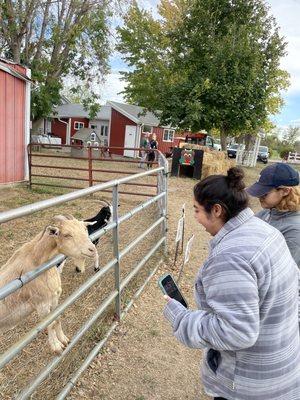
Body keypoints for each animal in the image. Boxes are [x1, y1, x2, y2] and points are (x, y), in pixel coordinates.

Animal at [0, 216, 98, 354]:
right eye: (67, 235)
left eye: (85, 229)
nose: (92, 249)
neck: (37, 260)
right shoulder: (41, 304)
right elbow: (49, 324)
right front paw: (56, 346)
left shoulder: (54, 298)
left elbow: (57, 319)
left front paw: (64, 339)